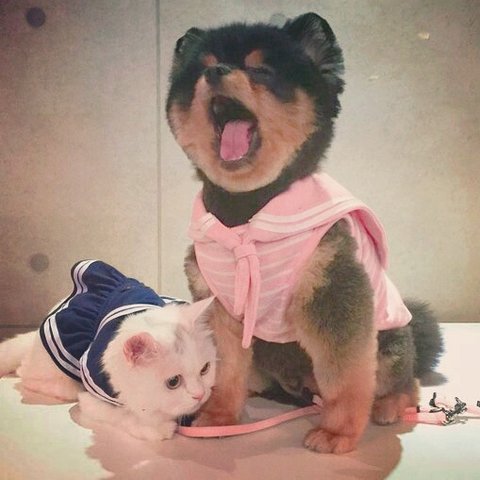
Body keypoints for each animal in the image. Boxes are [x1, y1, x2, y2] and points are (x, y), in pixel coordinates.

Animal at [0, 260, 217, 441]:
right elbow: (125, 414)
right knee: (26, 372)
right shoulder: (93, 398)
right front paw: (156, 427)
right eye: (173, 382)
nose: (200, 394)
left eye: (204, 369)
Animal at [166, 12, 443, 453]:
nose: (216, 71)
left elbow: (346, 378)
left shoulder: (333, 298)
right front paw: (219, 416)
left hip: (389, 343)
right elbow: (225, 370)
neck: (247, 211)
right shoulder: (219, 306)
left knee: (406, 380)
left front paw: (338, 431)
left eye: (261, 71)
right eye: (199, 70)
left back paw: (387, 405)